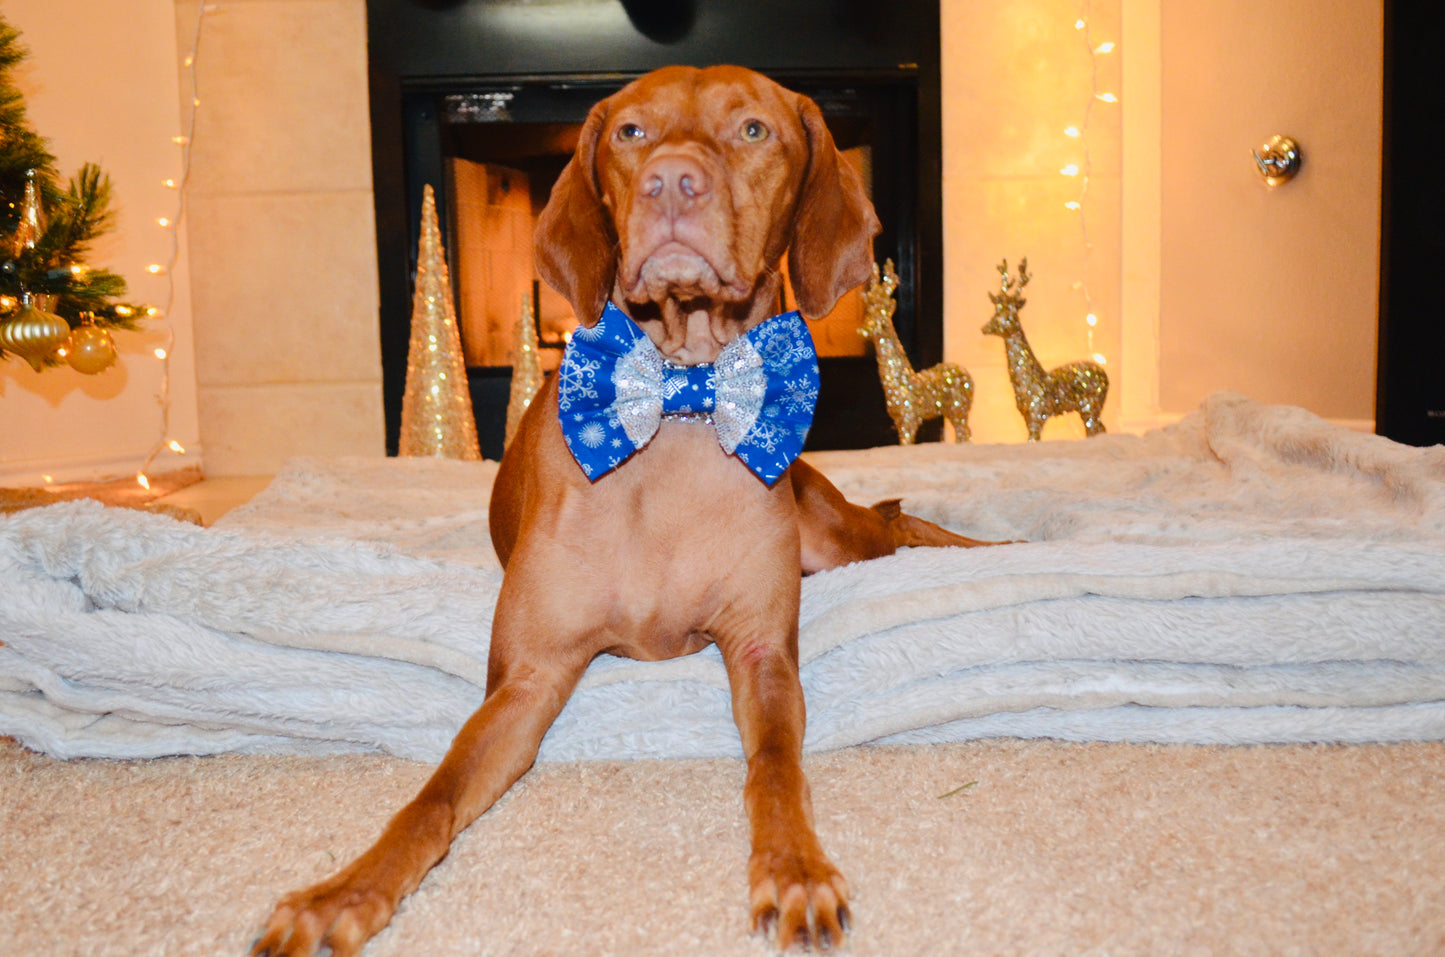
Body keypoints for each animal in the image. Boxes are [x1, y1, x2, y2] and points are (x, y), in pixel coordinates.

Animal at [251, 63, 994, 954]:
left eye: (752, 129)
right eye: (631, 132)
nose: (671, 181)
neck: (679, 397)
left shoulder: (761, 654)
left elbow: (777, 769)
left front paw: (794, 866)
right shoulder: (528, 679)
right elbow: (432, 796)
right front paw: (347, 889)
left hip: (832, 534)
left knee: (901, 523)